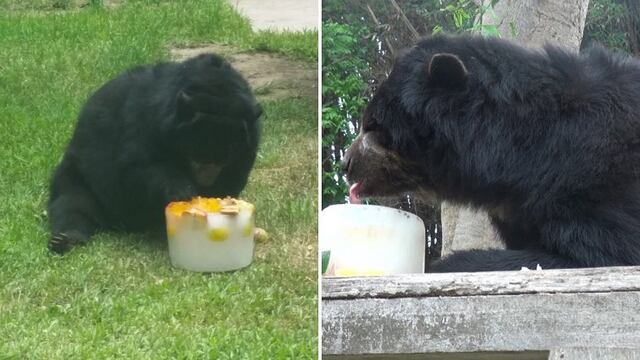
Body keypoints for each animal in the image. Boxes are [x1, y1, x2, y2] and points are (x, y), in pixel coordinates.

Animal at [47, 54, 262, 256]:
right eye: (195, 153)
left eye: (224, 159)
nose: (206, 179)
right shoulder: (146, 118)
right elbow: (138, 167)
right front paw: (183, 192)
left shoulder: (248, 145)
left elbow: (234, 178)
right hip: (80, 172)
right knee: (72, 203)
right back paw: (66, 239)